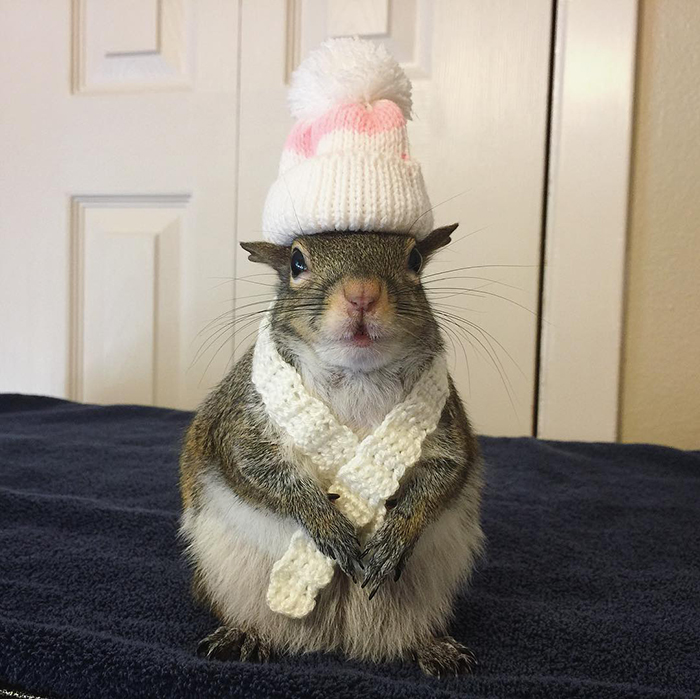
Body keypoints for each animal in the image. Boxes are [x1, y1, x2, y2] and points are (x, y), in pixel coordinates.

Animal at [179, 226, 485, 676]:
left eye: (414, 260)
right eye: (296, 263)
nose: (362, 294)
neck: (356, 376)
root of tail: (338, 639)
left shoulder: (446, 428)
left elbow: (444, 477)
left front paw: (396, 535)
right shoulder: (240, 424)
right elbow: (254, 470)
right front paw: (324, 522)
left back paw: (432, 646)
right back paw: (244, 634)